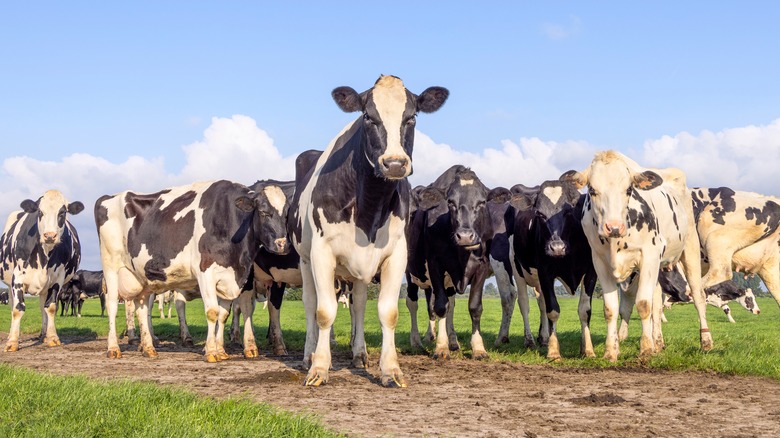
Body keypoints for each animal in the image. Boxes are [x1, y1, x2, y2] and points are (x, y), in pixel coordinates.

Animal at [0, 190, 84, 351]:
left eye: (62, 212)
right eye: (40, 212)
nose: (50, 236)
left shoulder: (57, 279)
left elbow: (50, 308)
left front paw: (52, 337)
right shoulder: (17, 278)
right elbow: (17, 308)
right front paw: (12, 342)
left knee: (42, 307)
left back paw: (43, 334)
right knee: (13, 304)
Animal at [95, 179, 291, 362]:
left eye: (287, 214)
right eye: (264, 212)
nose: (283, 244)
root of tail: (109, 197)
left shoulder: (229, 278)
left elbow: (223, 315)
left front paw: (221, 351)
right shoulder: (206, 272)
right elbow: (212, 312)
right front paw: (211, 352)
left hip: (141, 276)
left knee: (142, 309)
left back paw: (149, 348)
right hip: (111, 267)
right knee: (113, 306)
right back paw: (113, 348)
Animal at [289, 75, 448, 387]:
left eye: (412, 117)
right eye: (367, 117)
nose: (395, 163)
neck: (370, 205)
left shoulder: (396, 254)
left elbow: (388, 313)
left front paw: (391, 370)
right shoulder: (322, 253)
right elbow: (324, 312)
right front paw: (319, 368)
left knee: (360, 304)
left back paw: (359, 354)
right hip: (304, 259)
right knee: (310, 303)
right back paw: (308, 356)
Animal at [511, 178, 598, 359]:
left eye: (568, 212)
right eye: (539, 214)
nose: (556, 247)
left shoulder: (591, 272)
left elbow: (585, 310)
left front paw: (587, 349)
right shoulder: (545, 272)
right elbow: (553, 310)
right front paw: (553, 351)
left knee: (541, 303)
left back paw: (543, 337)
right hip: (517, 269)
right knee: (524, 304)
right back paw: (530, 341)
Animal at [562, 150, 713, 361]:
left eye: (628, 189)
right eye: (592, 189)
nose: (613, 227)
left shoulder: (649, 255)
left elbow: (643, 304)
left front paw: (646, 349)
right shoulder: (599, 262)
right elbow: (611, 309)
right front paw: (611, 351)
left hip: (689, 247)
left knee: (698, 295)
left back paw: (706, 341)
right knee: (657, 304)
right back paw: (658, 342)